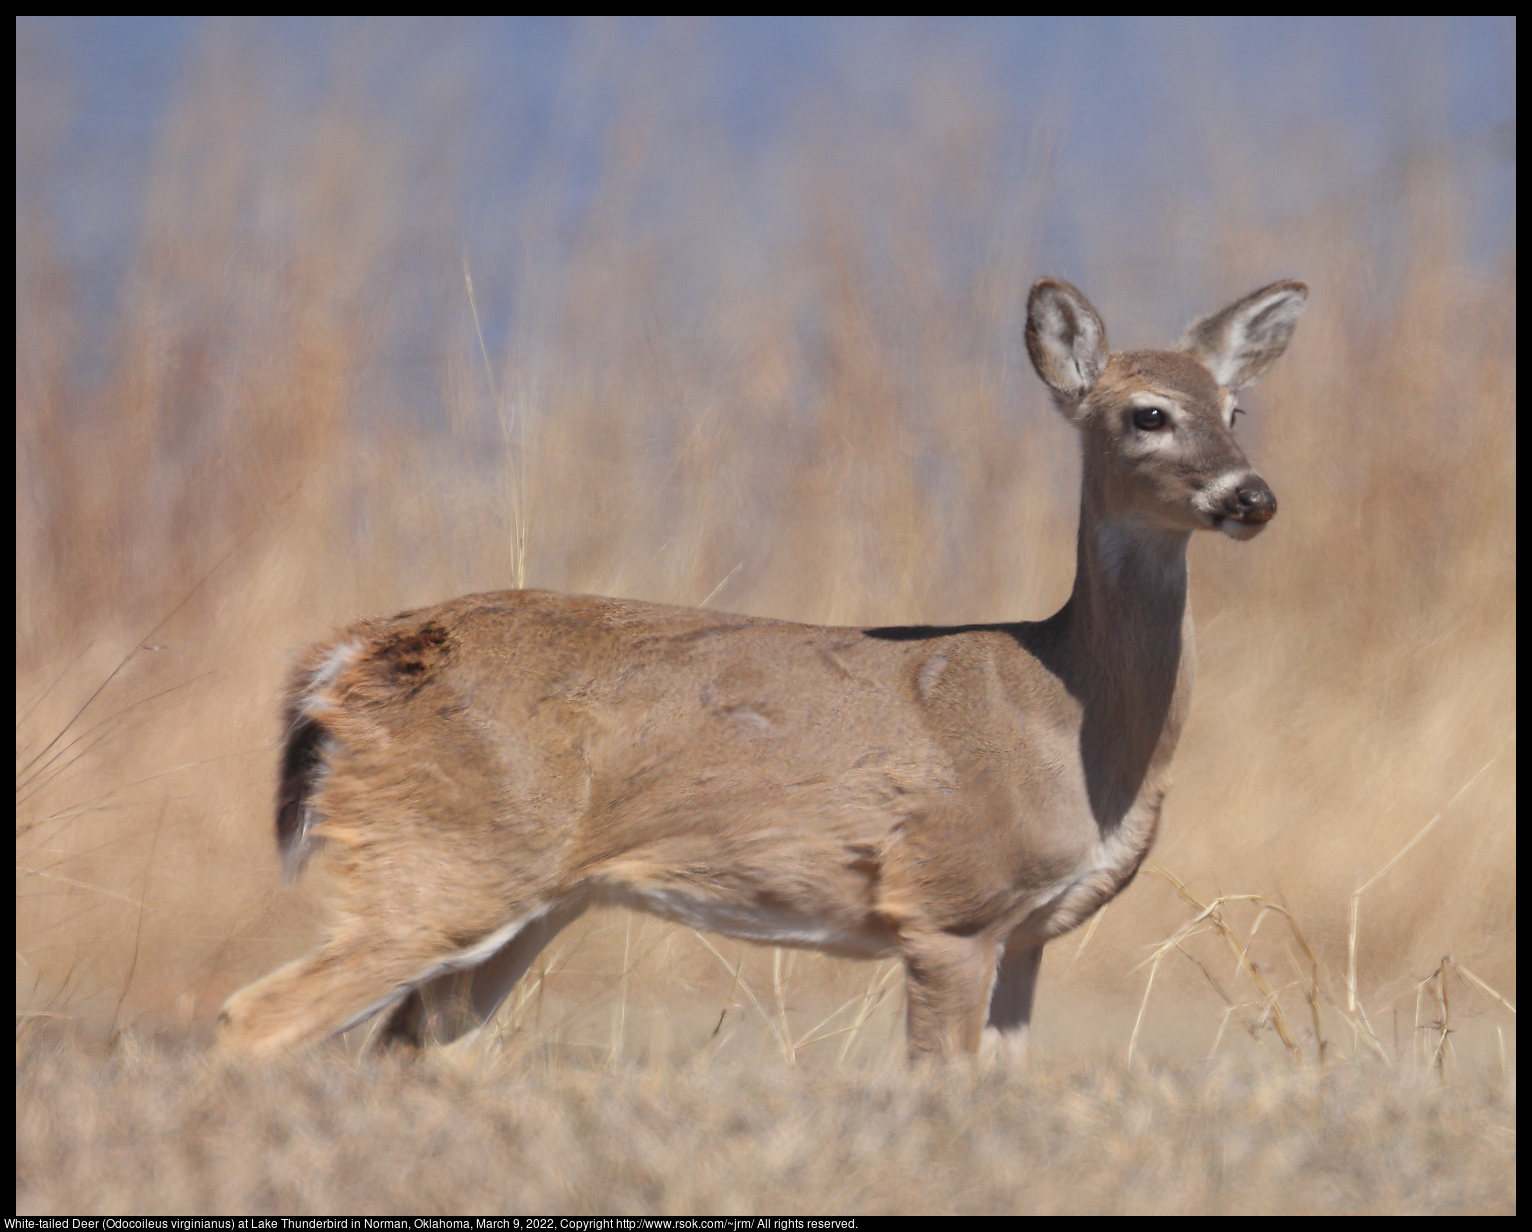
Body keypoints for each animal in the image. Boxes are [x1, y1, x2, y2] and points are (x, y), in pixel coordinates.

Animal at [222, 277, 1305, 1060]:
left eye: (1236, 406)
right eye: (1146, 414)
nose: (1250, 495)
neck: (1063, 712)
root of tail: (341, 659)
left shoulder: (1027, 933)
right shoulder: (948, 904)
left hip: (521, 899)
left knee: (400, 1046)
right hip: (443, 859)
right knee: (252, 1020)